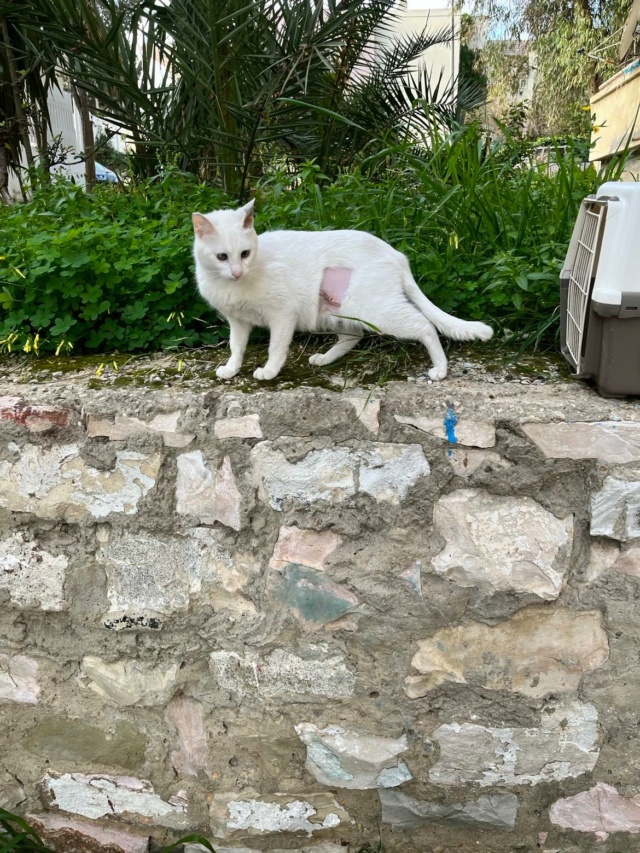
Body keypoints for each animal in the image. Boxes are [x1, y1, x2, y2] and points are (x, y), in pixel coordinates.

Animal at [192, 200, 492, 380]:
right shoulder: (238, 321)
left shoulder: (283, 314)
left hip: (374, 310)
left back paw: (440, 369)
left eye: (245, 253)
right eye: (222, 257)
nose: (237, 272)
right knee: (353, 336)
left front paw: (269, 371)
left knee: (424, 325)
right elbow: (236, 346)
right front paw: (231, 369)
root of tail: (397, 255)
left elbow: (276, 347)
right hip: (336, 310)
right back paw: (324, 359)